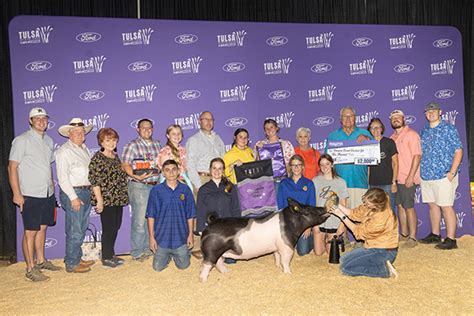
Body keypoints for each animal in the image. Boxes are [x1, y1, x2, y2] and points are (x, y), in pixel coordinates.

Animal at [198, 199, 332, 282]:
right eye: (308, 211)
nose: (324, 207)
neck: (291, 224)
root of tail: (211, 224)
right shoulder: (287, 246)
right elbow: (285, 261)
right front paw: (288, 274)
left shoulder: (277, 247)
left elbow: (277, 257)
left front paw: (277, 267)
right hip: (212, 251)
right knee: (207, 265)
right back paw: (203, 281)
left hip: (220, 252)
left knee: (219, 263)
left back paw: (227, 272)